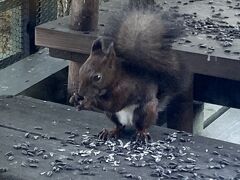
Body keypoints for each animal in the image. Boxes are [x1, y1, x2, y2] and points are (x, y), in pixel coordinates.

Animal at [70, 8, 191, 143]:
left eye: (97, 77)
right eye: (81, 70)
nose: (81, 93)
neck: (116, 78)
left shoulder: (126, 88)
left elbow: (113, 104)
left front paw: (87, 102)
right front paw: (75, 98)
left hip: (145, 111)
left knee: (142, 125)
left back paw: (141, 134)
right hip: (112, 115)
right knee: (119, 126)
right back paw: (110, 132)